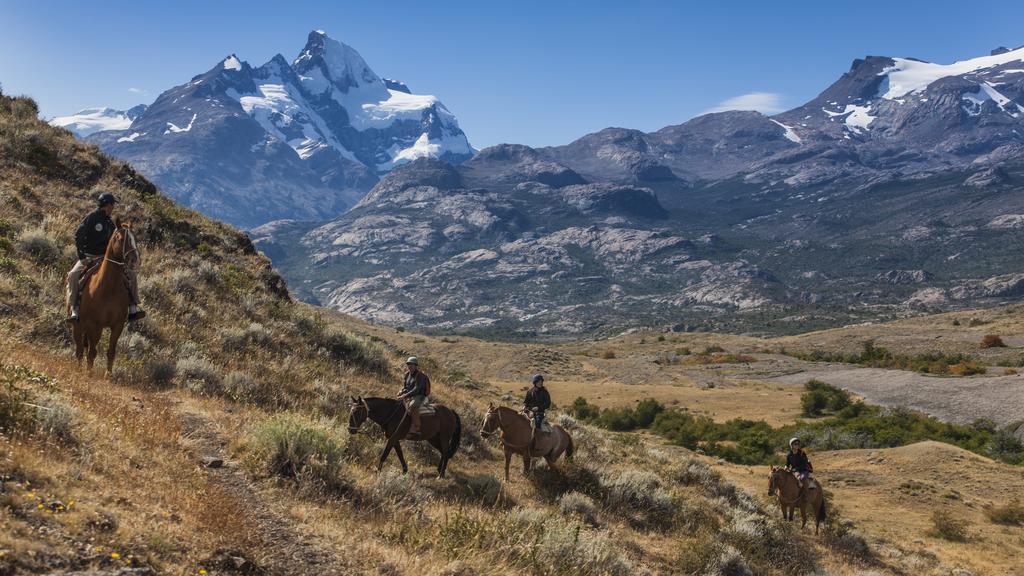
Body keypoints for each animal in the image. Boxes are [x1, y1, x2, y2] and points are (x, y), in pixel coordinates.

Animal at [69, 220, 138, 377]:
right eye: (120, 239)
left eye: (135, 238)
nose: (134, 259)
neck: (109, 288)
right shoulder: (95, 324)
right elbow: (92, 352)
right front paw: (89, 373)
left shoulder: (117, 325)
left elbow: (111, 351)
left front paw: (108, 375)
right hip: (78, 325)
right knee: (80, 349)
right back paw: (79, 369)